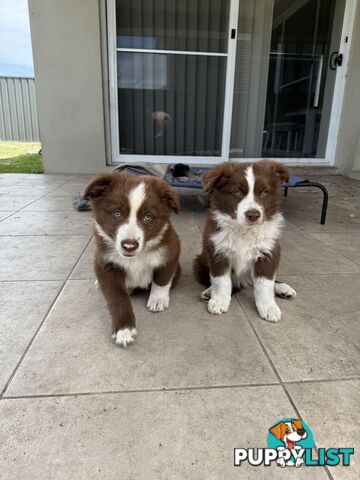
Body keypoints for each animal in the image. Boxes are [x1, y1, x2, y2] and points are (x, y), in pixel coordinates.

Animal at [83, 171, 180, 346]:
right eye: (116, 213)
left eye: (148, 217)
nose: (129, 245)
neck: (135, 257)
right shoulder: (104, 263)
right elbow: (117, 297)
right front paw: (124, 329)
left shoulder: (171, 251)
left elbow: (162, 279)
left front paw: (158, 300)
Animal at [193, 158, 296, 322]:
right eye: (237, 192)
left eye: (265, 193)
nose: (253, 215)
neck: (244, 231)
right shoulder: (218, 252)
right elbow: (222, 281)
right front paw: (219, 301)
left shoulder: (269, 253)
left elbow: (265, 284)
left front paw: (269, 308)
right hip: (199, 263)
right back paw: (210, 292)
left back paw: (283, 288)